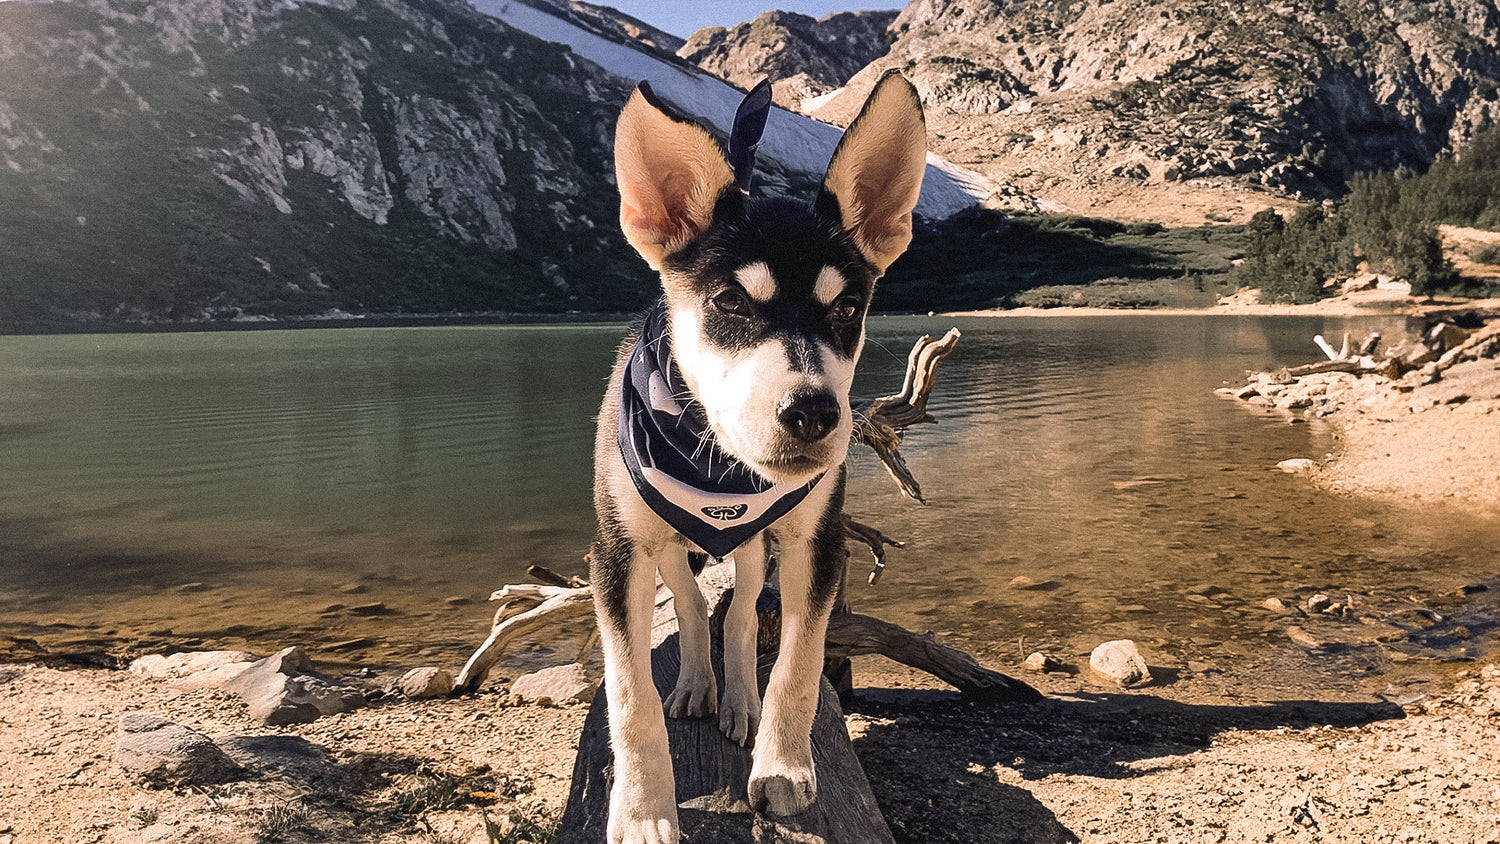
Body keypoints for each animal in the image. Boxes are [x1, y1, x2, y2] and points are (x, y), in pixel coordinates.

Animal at [594, 70, 924, 844]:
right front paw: (643, 810)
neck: (717, 465)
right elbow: (630, 692)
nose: (813, 413)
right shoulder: (617, 551)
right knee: (690, 602)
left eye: (849, 309)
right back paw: (697, 684)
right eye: (731, 302)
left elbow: (799, 662)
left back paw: (739, 697)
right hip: (665, 540)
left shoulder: (818, 542)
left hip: (751, 545)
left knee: (742, 612)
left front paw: (784, 770)